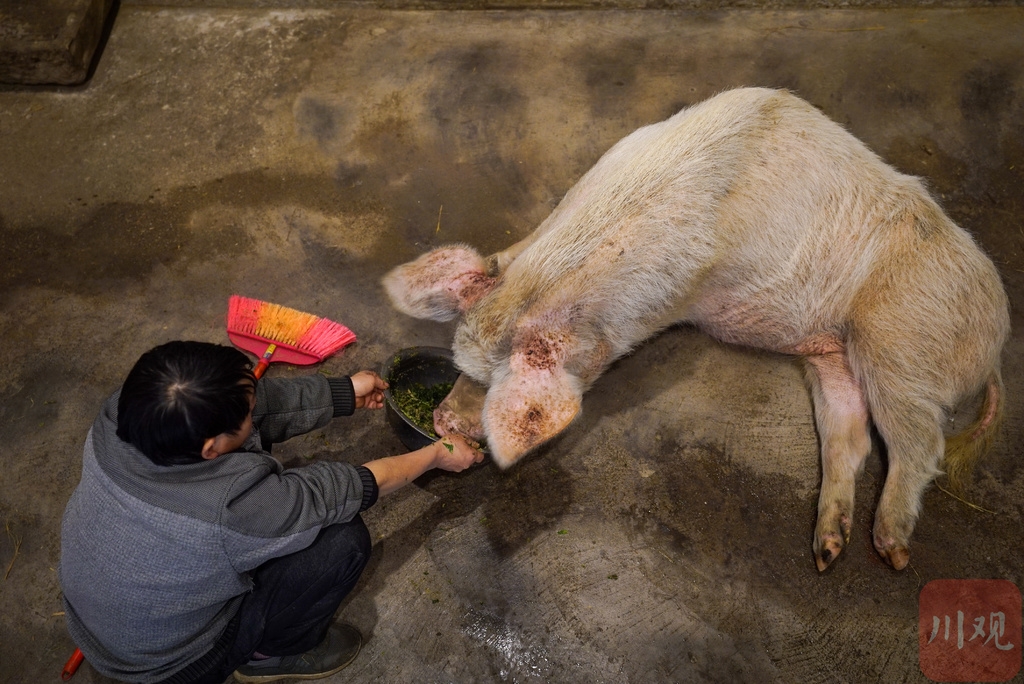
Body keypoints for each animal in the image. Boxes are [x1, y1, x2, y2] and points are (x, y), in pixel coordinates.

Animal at [382, 89, 1007, 573]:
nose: (443, 422)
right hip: (833, 356)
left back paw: (892, 551)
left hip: (901, 342)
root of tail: (997, 339)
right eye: (463, 366)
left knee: (919, 442)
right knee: (849, 440)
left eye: (492, 382)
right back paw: (826, 553)